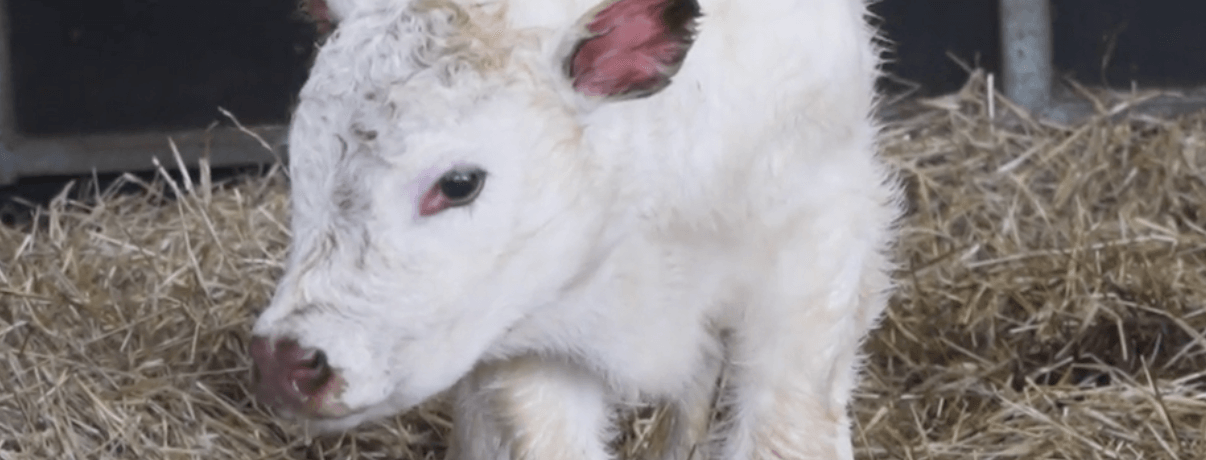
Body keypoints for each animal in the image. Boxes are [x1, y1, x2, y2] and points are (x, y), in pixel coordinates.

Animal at [249, 0, 902, 456]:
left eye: (459, 183)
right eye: (300, 160)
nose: (285, 363)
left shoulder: (813, 262)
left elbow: (785, 432)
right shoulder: (531, 349)